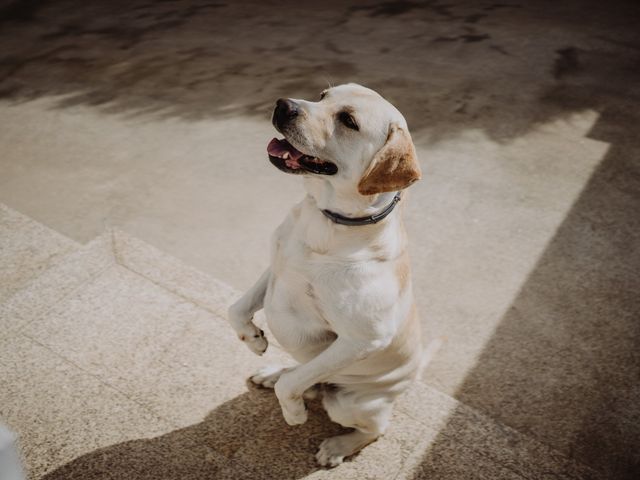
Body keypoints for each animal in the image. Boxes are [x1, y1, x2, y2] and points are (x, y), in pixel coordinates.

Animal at [228, 82, 422, 464]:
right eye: (323, 95)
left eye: (348, 121)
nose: (283, 105)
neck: (329, 221)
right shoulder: (277, 265)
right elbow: (236, 308)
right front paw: (254, 339)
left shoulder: (361, 340)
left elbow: (292, 386)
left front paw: (293, 414)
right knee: (303, 378)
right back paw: (273, 373)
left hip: (351, 403)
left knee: (374, 428)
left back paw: (337, 446)